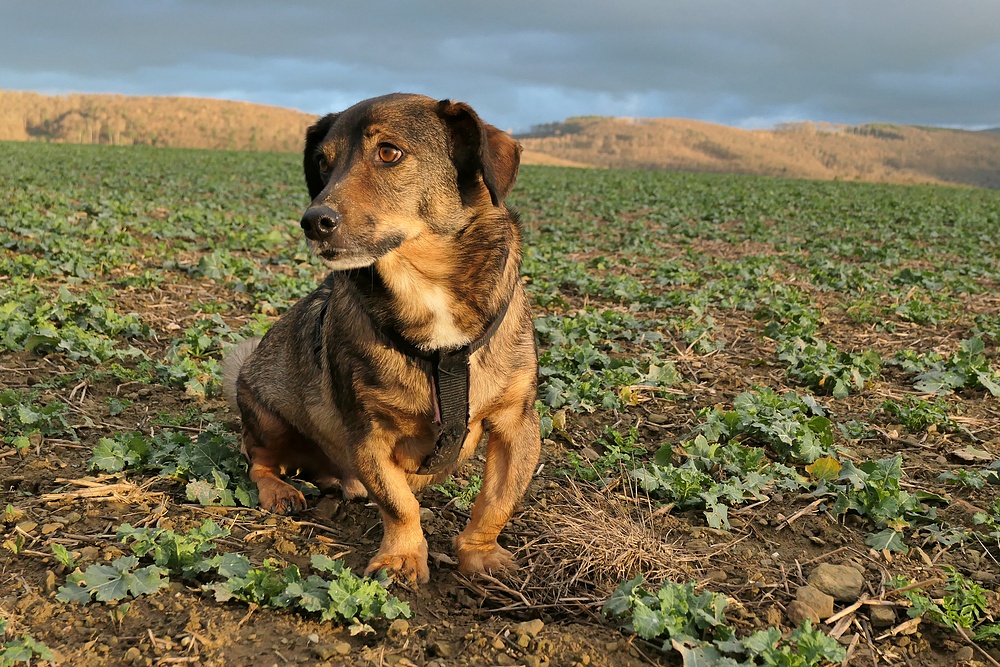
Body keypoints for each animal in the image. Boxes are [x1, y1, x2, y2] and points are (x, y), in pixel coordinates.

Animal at [224, 94, 544, 584]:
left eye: (389, 152)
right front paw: (403, 557)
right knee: (258, 459)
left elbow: (498, 501)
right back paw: (280, 490)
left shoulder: (517, 424)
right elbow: (399, 504)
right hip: (268, 416)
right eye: (323, 163)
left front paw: (481, 554)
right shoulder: (369, 434)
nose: (314, 221)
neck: (425, 289)